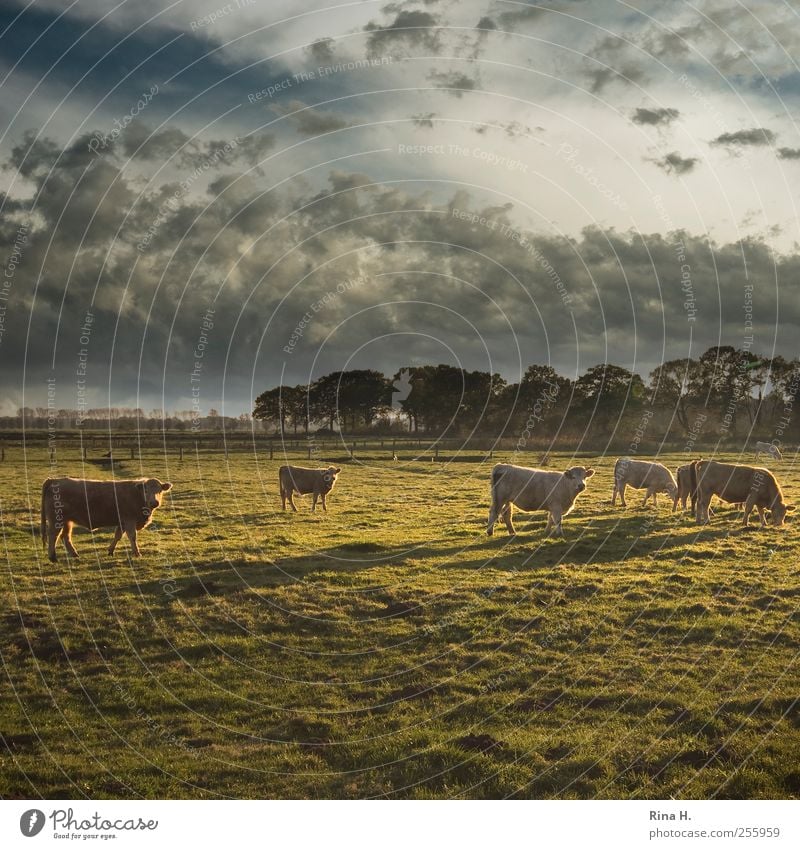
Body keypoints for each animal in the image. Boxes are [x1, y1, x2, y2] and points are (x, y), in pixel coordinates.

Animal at [41, 476, 172, 564]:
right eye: (146, 490)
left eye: (159, 490)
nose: (154, 502)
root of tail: (55, 479)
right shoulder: (129, 520)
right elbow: (132, 537)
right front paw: (137, 553)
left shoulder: (122, 522)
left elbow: (117, 536)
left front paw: (110, 551)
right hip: (56, 520)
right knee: (53, 536)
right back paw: (53, 558)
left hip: (67, 521)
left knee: (65, 537)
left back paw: (75, 555)